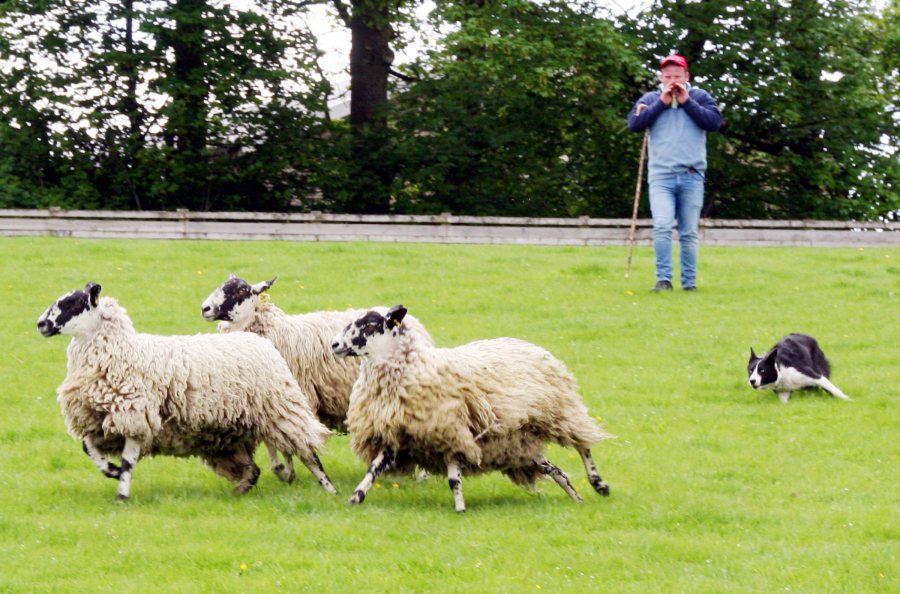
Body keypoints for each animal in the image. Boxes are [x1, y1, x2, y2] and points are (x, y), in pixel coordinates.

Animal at [37, 282, 336, 501]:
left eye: (72, 303)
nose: (41, 324)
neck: (120, 350)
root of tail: (256, 339)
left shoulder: (135, 416)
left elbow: (128, 462)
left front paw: (121, 494)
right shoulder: (102, 420)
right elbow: (88, 447)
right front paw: (110, 471)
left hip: (280, 408)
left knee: (308, 451)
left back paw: (331, 490)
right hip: (232, 431)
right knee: (254, 469)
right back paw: (240, 489)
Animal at [331, 305, 612, 512]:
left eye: (369, 325)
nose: (334, 345)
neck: (411, 366)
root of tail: (534, 347)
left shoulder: (451, 430)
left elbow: (453, 478)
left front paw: (460, 508)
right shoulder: (398, 434)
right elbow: (374, 468)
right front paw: (356, 497)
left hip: (559, 411)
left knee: (583, 445)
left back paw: (599, 484)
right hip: (520, 441)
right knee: (557, 470)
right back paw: (576, 497)